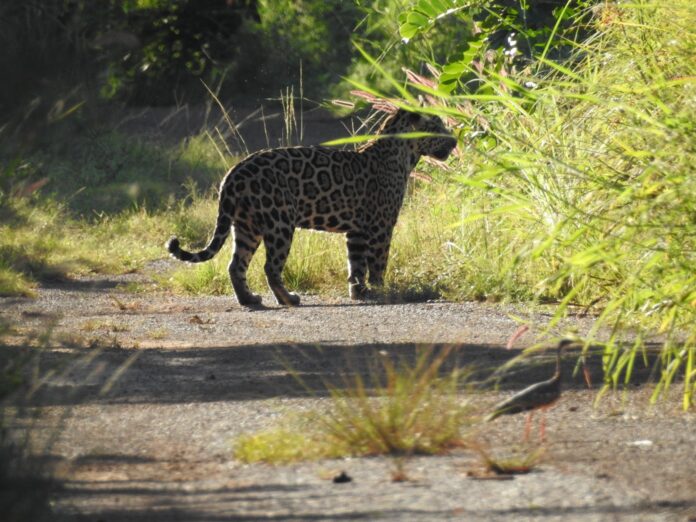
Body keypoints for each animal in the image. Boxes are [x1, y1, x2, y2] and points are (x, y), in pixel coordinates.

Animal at [166, 108, 457, 307]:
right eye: (437, 126)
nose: (454, 141)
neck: (404, 153)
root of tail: (232, 174)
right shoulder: (380, 226)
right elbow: (378, 263)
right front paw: (382, 291)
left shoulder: (357, 231)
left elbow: (356, 265)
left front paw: (359, 293)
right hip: (279, 223)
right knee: (270, 267)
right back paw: (288, 299)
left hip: (247, 227)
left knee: (236, 265)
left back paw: (250, 300)